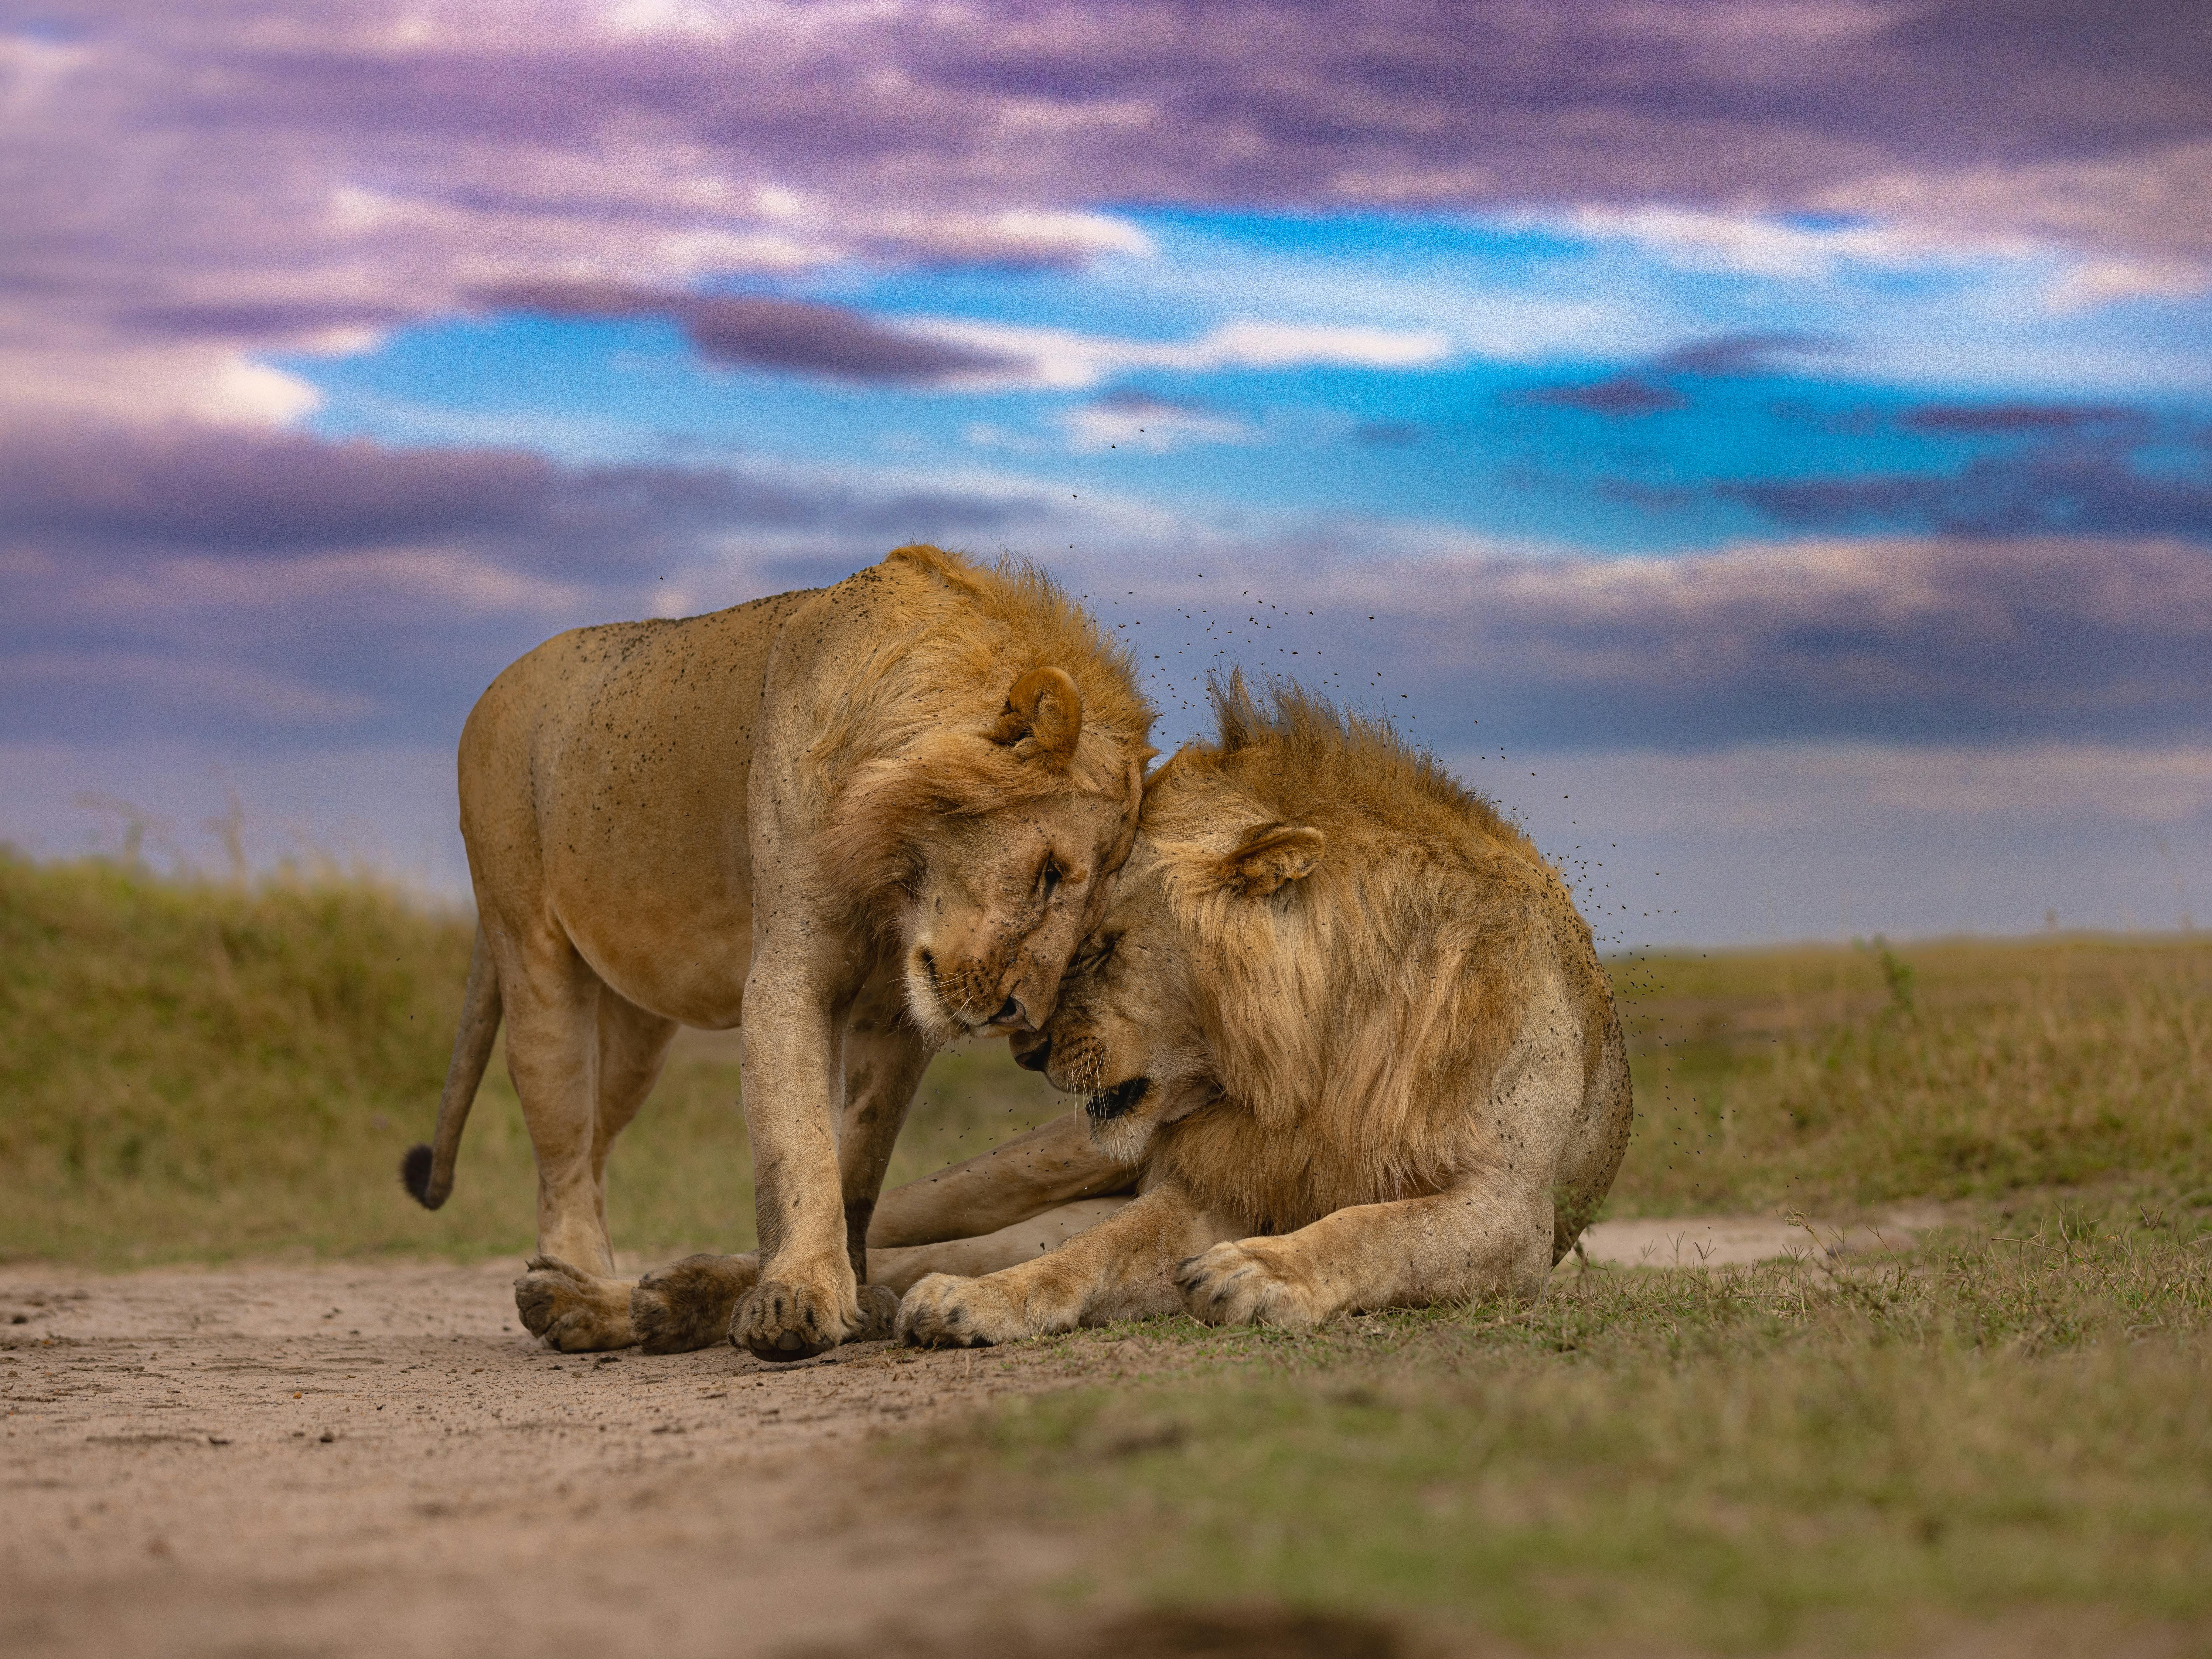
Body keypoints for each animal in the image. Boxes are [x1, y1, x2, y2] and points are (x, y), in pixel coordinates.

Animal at [402, 553, 1159, 1354]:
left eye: (1091, 910)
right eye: (1049, 871)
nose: (1020, 1014)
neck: (891, 868)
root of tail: (497, 681)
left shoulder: (898, 1012)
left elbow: (858, 1154)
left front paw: (853, 1290)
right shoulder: (789, 968)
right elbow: (796, 1141)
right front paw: (794, 1299)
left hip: (636, 1033)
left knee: (597, 1143)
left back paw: (588, 1293)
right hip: (532, 954)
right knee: (564, 1152)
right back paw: (575, 1285)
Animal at [885, 681, 1646, 1345]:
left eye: (1099, 947)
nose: (1027, 1051)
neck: (1319, 1060)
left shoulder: (1511, 1211)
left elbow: (1376, 1228)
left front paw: (1260, 1270)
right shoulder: (1221, 1185)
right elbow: (1096, 1248)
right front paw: (977, 1298)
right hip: (1033, 1160)